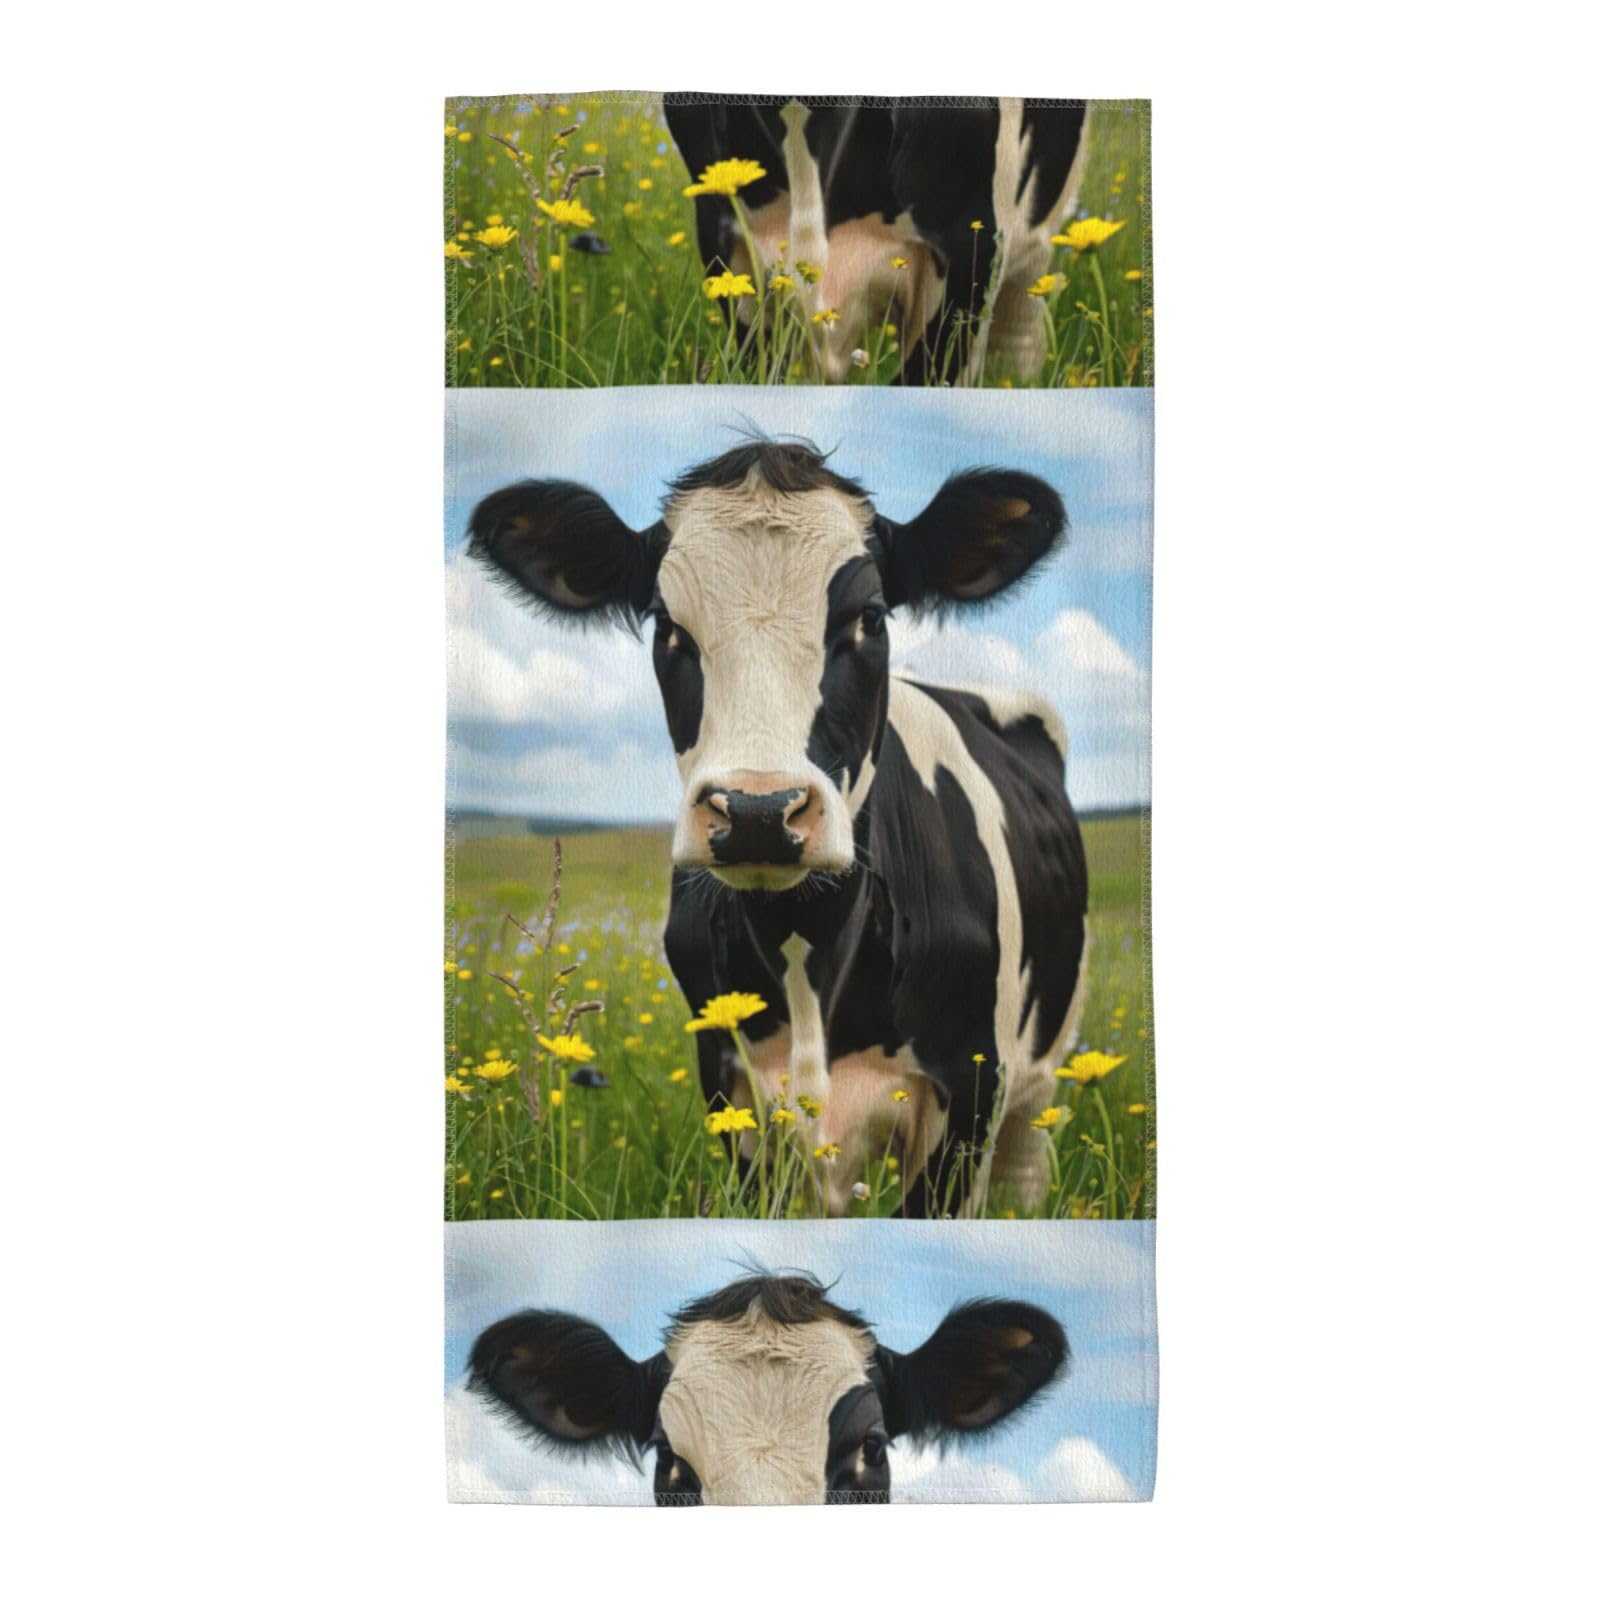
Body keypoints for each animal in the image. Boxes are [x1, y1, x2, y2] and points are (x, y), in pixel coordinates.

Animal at [468, 438, 1089, 1218]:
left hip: (1042, 1079)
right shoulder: (728, 1084)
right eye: (667, 625)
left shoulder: (973, 1087)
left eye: (870, 617)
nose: (757, 812)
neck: (805, 944)